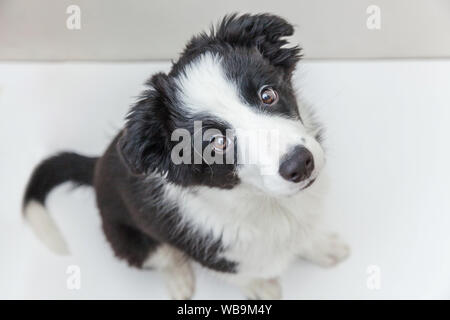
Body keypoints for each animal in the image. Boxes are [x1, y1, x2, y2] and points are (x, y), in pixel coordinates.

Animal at [22, 13, 350, 300]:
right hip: (129, 240)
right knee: (161, 257)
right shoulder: (210, 249)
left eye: (267, 95)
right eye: (216, 143)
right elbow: (240, 274)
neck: (265, 202)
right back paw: (178, 278)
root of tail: (97, 165)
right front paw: (261, 287)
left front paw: (321, 247)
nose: (300, 164)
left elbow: (305, 233)